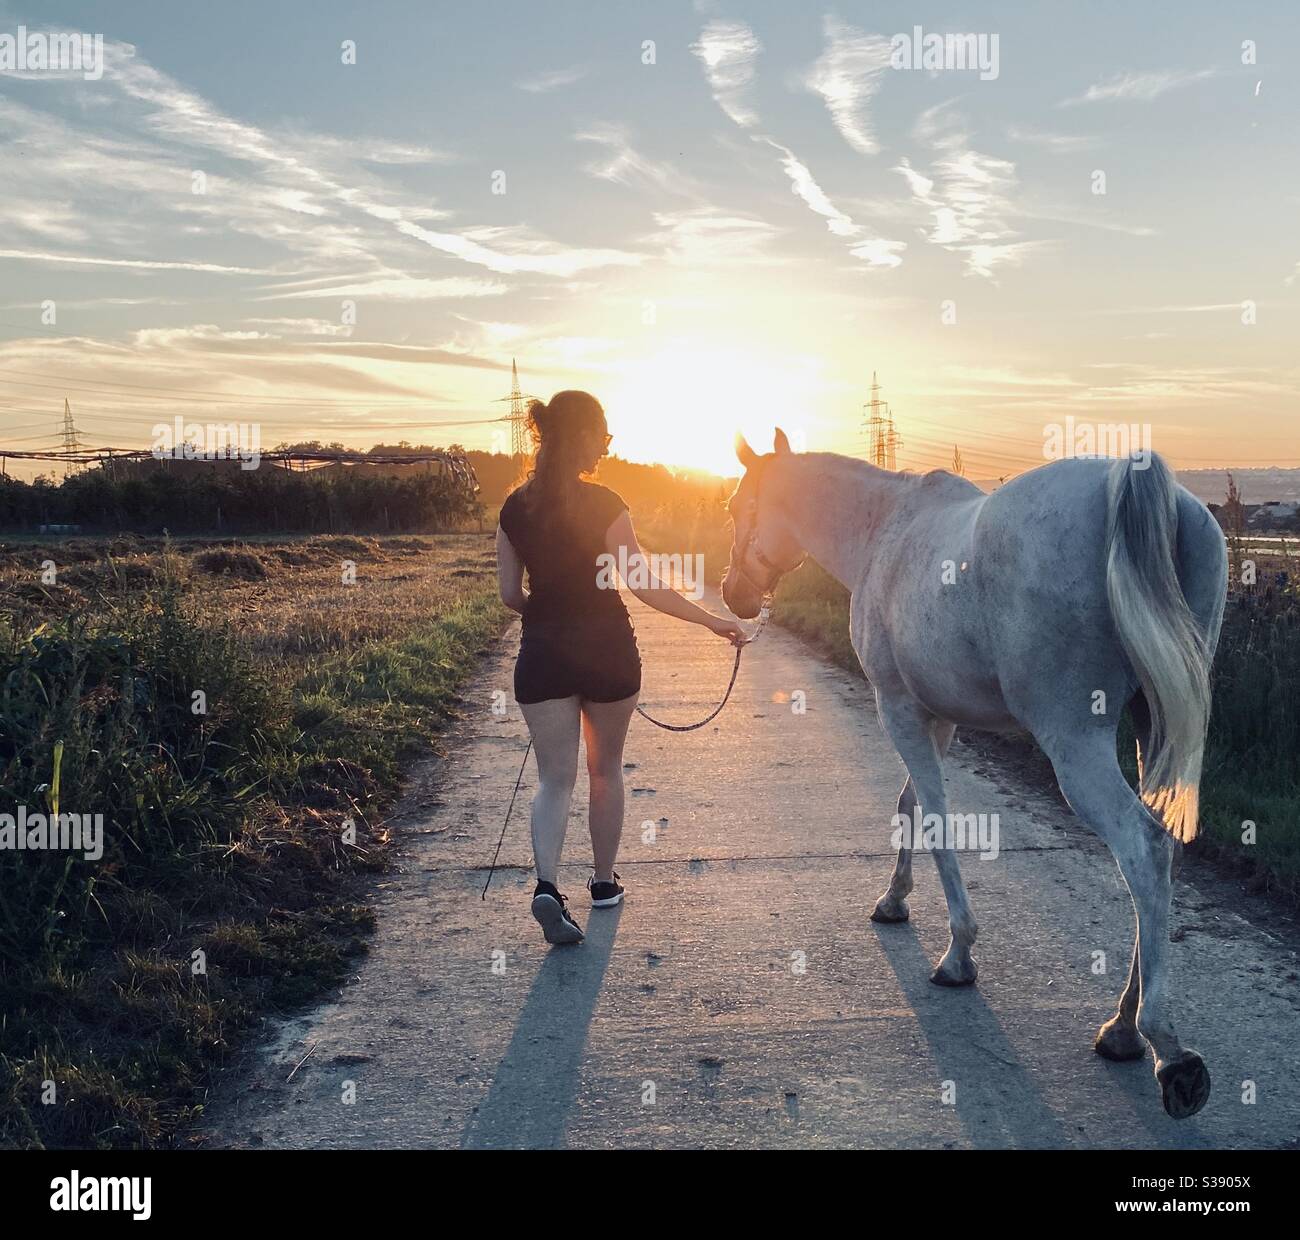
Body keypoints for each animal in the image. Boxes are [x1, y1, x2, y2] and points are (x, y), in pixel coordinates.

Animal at [722, 431, 1227, 1120]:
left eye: (735, 509)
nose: (732, 595)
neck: (884, 529)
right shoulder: (937, 718)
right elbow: (909, 804)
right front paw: (893, 900)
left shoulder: (898, 709)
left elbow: (933, 816)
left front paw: (958, 952)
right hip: (1150, 730)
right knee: (1160, 851)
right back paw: (1123, 1028)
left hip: (1075, 741)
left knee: (1143, 849)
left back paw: (1167, 1050)